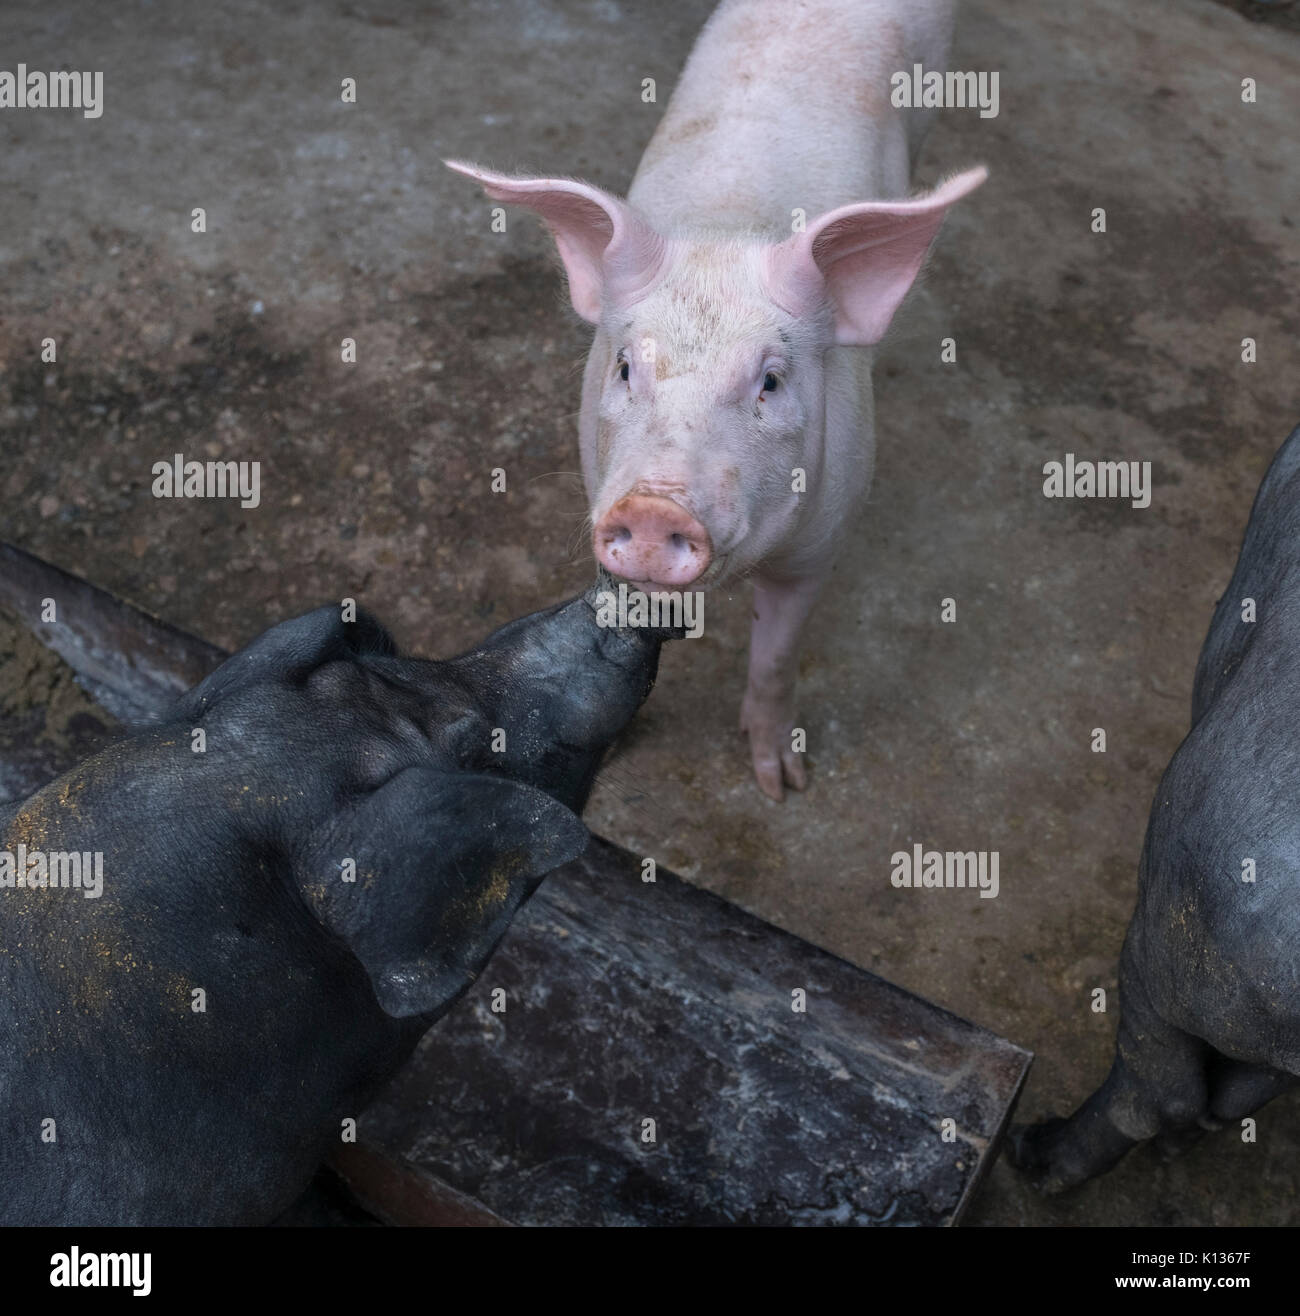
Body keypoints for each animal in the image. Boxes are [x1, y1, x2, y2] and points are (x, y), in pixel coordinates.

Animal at [450, 0, 984, 794]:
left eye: (771, 381)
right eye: (625, 368)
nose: (654, 505)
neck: (729, 227)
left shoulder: (822, 541)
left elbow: (776, 658)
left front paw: (781, 784)